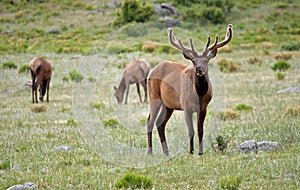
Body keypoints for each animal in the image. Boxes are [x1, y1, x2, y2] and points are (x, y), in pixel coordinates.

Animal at [146, 24, 233, 155]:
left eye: (206, 60)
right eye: (193, 61)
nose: (199, 69)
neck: (199, 95)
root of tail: (152, 72)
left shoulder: (204, 108)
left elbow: (200, 130)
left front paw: (200, 152)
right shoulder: (186, 106)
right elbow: (191, 130)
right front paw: (191, 151)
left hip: (168, 105)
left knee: (160, 123)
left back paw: (166, 152)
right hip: (154, 95)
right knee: (150, 121)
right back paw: (150, 152)